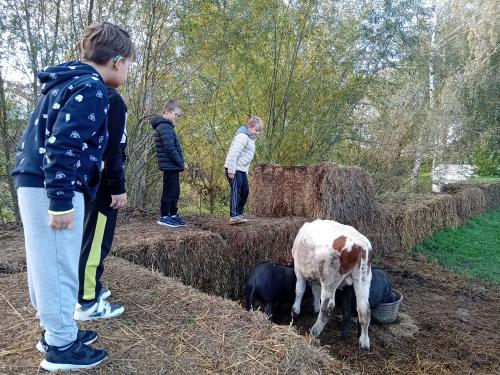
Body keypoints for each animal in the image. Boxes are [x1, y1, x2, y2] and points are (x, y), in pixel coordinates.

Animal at [290, 220, 372, 350]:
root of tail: (358, 244)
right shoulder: (316, 276)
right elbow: (315, 291)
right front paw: (315, 308)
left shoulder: (298, 268)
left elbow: (299, 289)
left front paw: (295, 312)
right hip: (363, 278)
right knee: (364, 309)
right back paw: (364, 342)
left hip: (329, 276)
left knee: (327, 307)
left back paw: (313, 332)